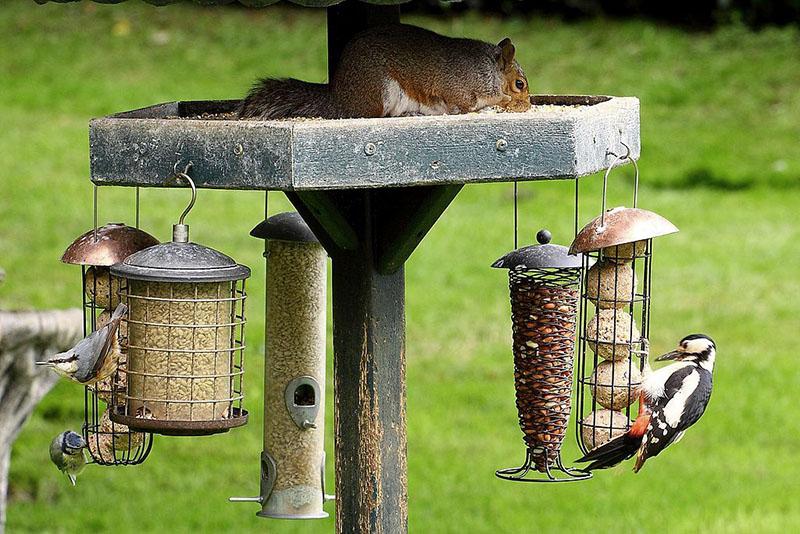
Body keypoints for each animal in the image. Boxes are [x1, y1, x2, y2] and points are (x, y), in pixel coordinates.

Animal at [238, 23, 532, 119]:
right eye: (519, 84)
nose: (528, 106)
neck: (486, 71)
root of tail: (339, 100)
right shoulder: (459, 88)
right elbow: (465, 105)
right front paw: (501, 102)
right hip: (381, 91)